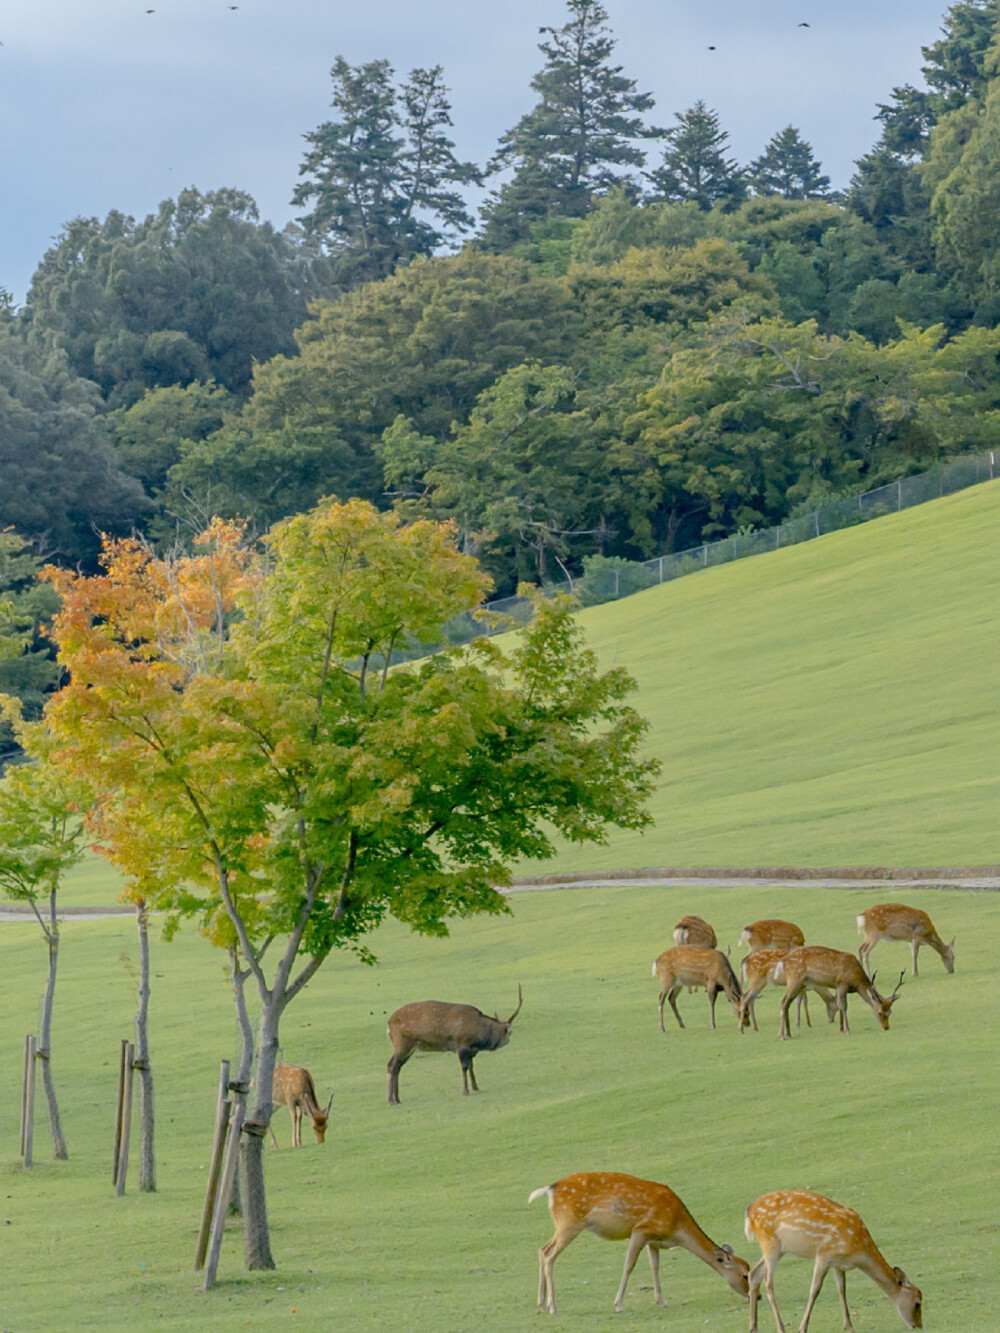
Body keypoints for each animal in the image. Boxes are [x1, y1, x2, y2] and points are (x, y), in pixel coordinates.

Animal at [386, 986, 525, 1109]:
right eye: (509, 1032)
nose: (506, 1041)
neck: (478, 1037)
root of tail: (388, 1024)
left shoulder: (470, 1050)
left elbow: (471, 1066)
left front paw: (476, 1087)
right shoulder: (462, 1045)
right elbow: (464, 1067)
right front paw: (466, 1091)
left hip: (409, 1047)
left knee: (397, 1066)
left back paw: (397, 1099)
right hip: (402, 1043)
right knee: (392, 1065)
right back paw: (391, 1101)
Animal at [533, 1173, 752, 1317]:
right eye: (744, 1275)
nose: (754, 1297)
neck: (677, 1228)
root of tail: (550, 1188)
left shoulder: (652, 1240)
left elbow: (655, 1266)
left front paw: (662, 1301)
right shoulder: (640, 1230)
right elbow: (629, 1265)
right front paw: (618, 1304)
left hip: (562, 1225)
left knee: (543, 1249)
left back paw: (541, 1303)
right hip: (569, 1223)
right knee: (550, 1256)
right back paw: (553, 1307)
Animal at [746, 1189, 922, 1333]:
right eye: (917, 1303)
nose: (918, 1325)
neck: (859, 1250)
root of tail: (749, 1212)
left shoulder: (838, 1264)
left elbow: (842, 1289)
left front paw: (849, 1327)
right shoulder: (824, 1255)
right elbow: (814, 1290)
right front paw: (802, 1328)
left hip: (779, 1248)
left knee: (754, 1274)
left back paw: (753, 1327)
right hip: (769, 1242)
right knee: (768, 1281)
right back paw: (780, 1328)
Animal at [773, 949, 906, 1039]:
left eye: (890, 1012)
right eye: (880, 1012)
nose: (886, 1027)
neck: (856, 980)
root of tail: (782, 962)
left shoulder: (838, 986)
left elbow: (839, 1005)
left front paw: (841, 1029)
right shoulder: (842, 983)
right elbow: (843, 1005)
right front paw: (847, 1030)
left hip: (799, 984)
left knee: (786, 1003)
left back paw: (788, 1033)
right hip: (794, 980)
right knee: (783, 1002)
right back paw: (782, 1036)